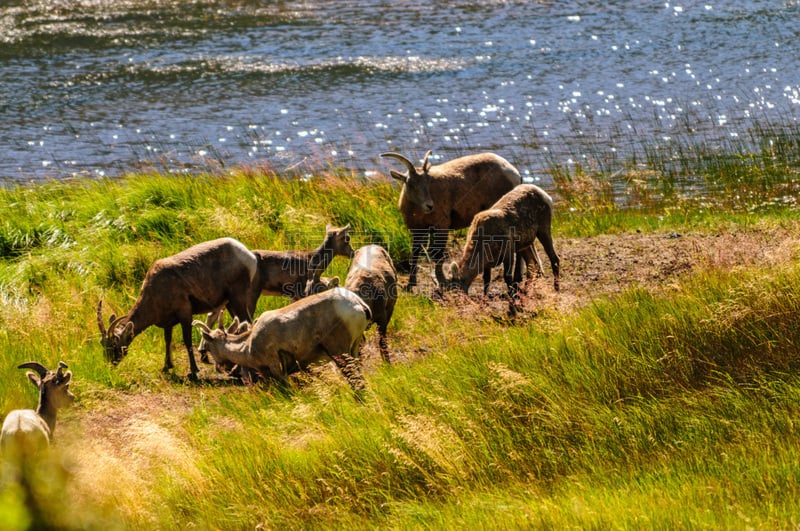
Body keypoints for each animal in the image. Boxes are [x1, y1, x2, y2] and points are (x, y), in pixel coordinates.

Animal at [95, 236, 260, 378]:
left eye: (114, 343)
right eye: (102, 344)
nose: (109, 365)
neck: (156, 288)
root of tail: (248, 256)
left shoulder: (185, 313)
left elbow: (187, 340)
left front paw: (193, 371)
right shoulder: (167, 322)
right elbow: (168, 341)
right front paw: (166, 367)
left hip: (237, 298)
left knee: (248, 324)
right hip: (230, 303)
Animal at [194, 288, 372, 392]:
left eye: (208, 345)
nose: (220, 368)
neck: (248, 345)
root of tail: (359, 304)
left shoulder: (276, 368)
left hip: (339, 351)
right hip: (354, 349)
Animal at [382, 150, 524, 290]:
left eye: (428, 182)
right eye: (410, 184)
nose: (430, 205)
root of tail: (515, 173)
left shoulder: (442, 227)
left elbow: (437, 254)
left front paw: (441, 281)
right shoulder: (417, 230)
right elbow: (415, 253)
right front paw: (411, 284)